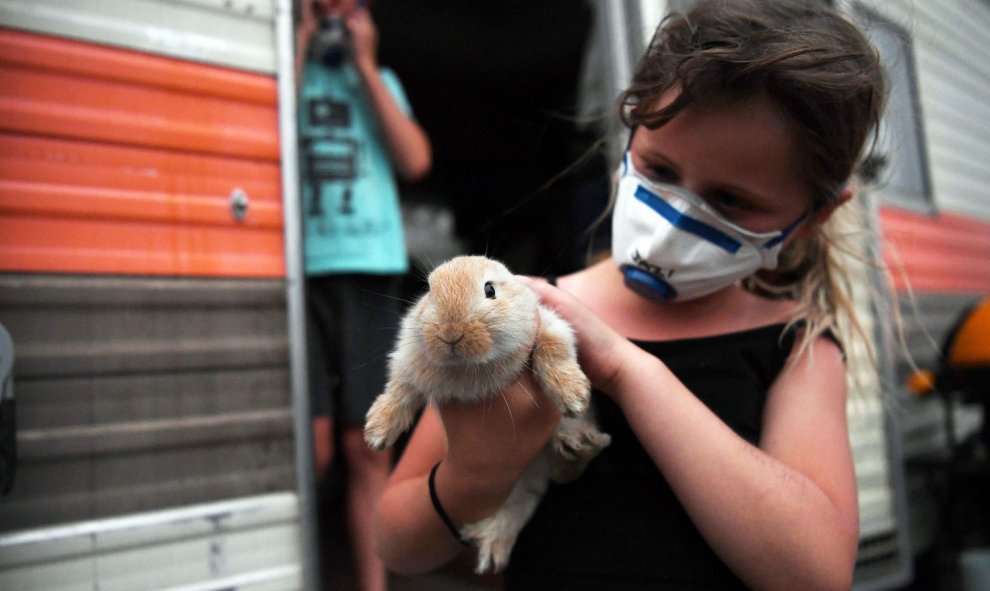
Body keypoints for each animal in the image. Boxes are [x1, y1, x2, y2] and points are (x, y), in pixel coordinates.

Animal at [366, 254, 612, 572]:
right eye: (430, 292)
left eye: (490, 290)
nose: (450, 333)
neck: (469, 366)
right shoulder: (408, 363)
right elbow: (399, 392)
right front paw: (377, 433)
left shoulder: (550, 325)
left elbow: (554, 350)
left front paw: (573, 396)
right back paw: (492, 551)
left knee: (557, 477)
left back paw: (580, 444)